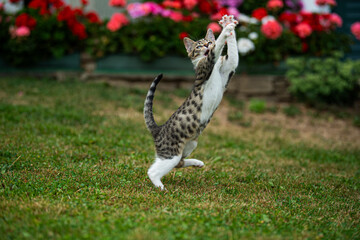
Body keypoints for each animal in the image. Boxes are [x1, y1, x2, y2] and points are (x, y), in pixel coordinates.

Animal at [143, 15, 239, 190]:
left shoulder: (228, 67)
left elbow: (233, 55)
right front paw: (225, 30)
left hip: (190, 145)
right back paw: (160, 187)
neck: (216, 68)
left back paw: (197, 163)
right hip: (171, 152)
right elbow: (216, 50)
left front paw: (228, 24)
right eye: (200, 45)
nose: (208, 44)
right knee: (154, 170)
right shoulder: (205, 67)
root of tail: (158, 129)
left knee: (179, 163)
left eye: (209, 41)